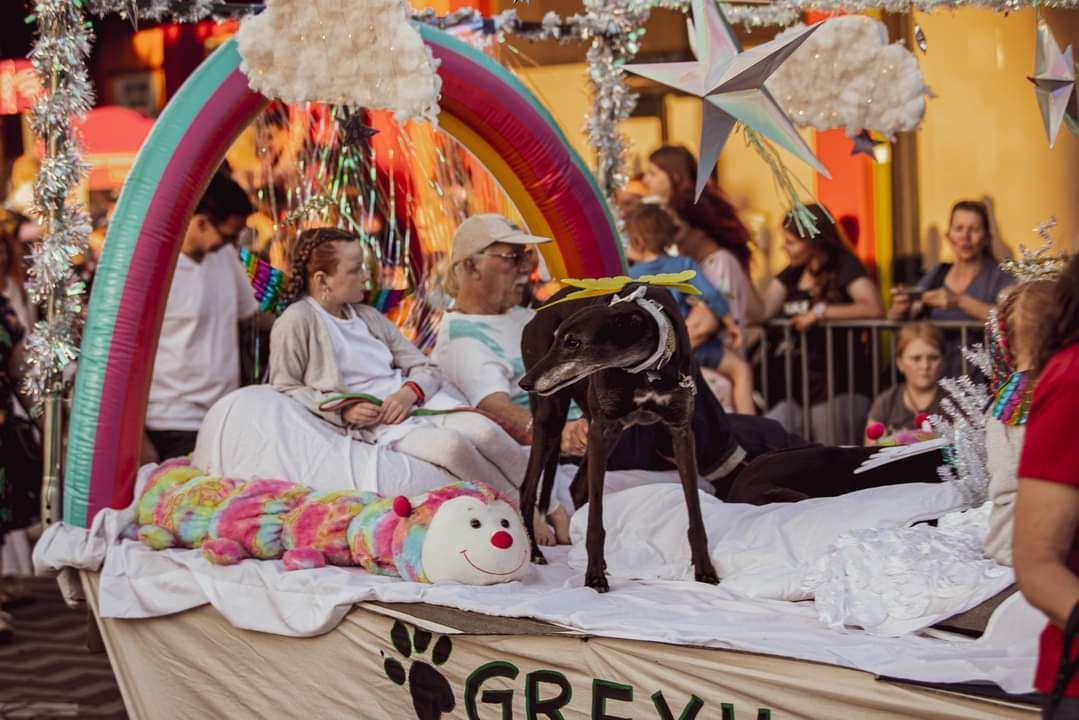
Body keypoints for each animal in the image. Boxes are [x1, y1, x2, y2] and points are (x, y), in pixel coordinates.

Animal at [515, 280, 716, 591]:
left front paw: (704, 570)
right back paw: (536, 552)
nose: (525, 383)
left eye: (573, 343)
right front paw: (594, 575)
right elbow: (595, 520)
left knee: (577, 488)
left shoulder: (681, 431)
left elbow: (695, 510)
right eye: (558, 338)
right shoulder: (602, 428)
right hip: (552, 417)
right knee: (528, 488)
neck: (647, 371)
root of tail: (538, 311)